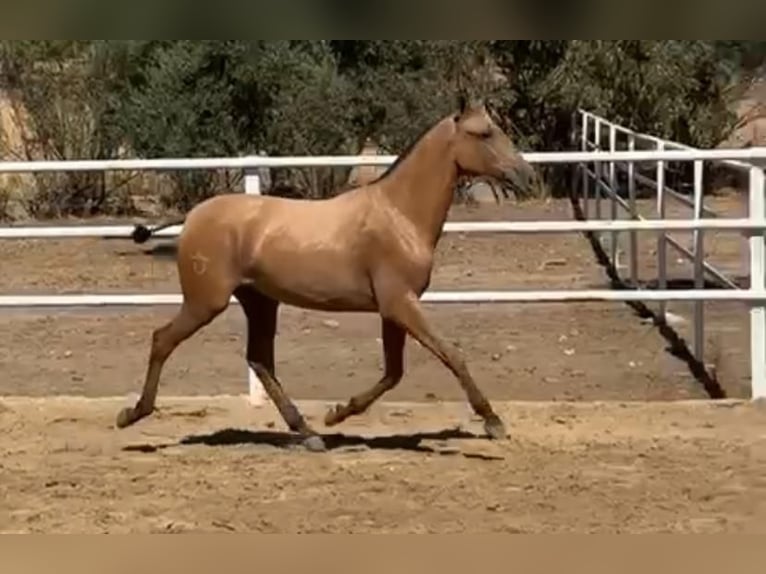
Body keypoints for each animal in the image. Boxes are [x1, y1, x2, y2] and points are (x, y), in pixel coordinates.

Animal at [120, 97, 540, 452]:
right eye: (483, 133)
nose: (527, 177)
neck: (400, 215)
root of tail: (192, 216)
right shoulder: (400, 304)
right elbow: (451, 355)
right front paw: (493, 422)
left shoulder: (393, 309)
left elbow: (394, 373)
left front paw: (337, 413)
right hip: (206, 302)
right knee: (163, 341)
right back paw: (132, 415)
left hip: (260, 302)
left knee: (260, 360)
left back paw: (309, 433)